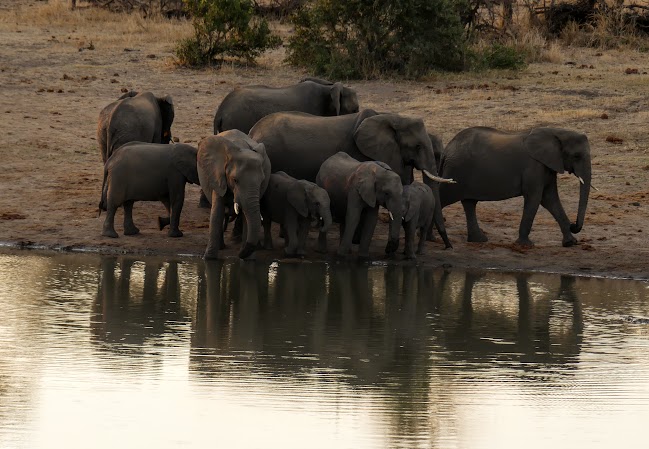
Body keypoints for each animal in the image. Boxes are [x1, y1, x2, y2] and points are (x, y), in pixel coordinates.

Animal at [196, 129, 270, 260]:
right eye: (235, 180)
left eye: (262, 181)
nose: (239, 255)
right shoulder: (218, 176)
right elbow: (217, 213)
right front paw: (209, 259)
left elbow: (246, 217)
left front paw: (249, 259)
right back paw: (221, 247)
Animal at [251, 108, 454, 248]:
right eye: (418, 146)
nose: (447, 246)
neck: (391, 117)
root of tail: (253, 131)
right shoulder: (362, 153)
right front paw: (356, 241)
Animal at [438, 124, 588, 247]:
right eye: (576, 156)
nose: (573, 224)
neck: (556, 131)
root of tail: (447, 150)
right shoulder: (533, 167)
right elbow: (535, 198)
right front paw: (525, 245)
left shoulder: (548, 167)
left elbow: (550, 199)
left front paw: (570, 243)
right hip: (455, 172)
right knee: (442, 198)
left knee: (469, 203)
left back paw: (478, 240)